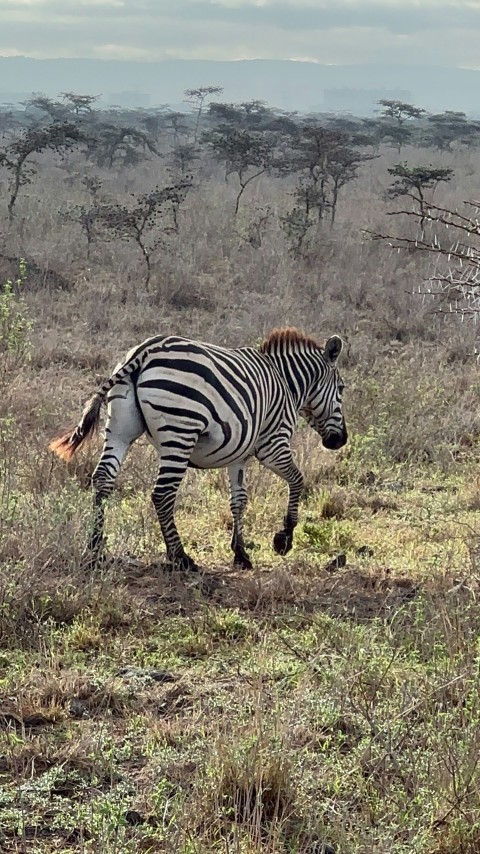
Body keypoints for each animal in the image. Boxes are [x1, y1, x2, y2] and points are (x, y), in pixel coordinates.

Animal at [48, 328, 346, 576]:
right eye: (342, 389)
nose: (340, 441)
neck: (286, 382)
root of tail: (145, 351)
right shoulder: (273, 444)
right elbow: (297, 480)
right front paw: (284, 538)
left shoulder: (238, 456)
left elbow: (238, 500)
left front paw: (240, 554)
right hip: (179, 431)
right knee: (162, 494)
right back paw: (180, 557)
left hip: (120, 429)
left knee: (103, 480)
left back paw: (95, 548)